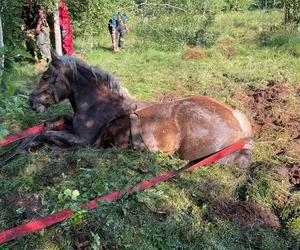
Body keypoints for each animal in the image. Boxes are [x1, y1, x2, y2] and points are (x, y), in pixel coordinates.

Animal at [28, 53, 253, 167]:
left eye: (46, 76)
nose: (31, 102)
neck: (97, 105)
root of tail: (235, 120)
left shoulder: (84, 142)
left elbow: (48, 134)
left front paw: (34, 145)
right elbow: (52, 123)